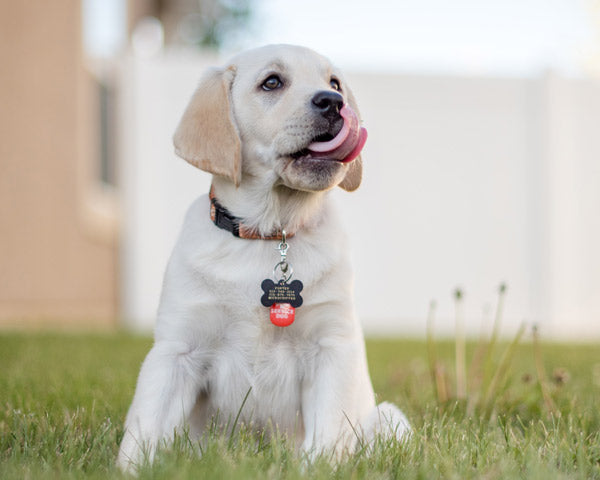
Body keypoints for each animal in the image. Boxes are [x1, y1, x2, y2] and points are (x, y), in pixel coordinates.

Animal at [116, 43, 408, 470]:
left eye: (334, 83)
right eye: (272, 82)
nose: (334, 102)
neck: (270, 233)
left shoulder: (332, 347)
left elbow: (326, 436)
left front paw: (315, 470)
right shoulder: (177, 350)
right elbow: (145, 429)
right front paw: (132, 468)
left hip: (390, 418)